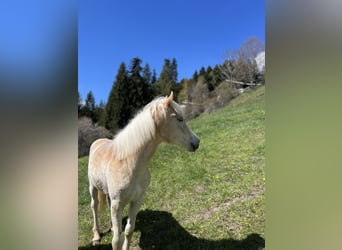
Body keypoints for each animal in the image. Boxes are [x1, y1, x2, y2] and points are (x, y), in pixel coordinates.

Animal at [87, 92, 200, 250]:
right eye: (179, 119)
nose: (197, 142)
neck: (129, 163)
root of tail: (97, 141)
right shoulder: (117, 204)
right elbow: (116, 240)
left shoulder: (137, 200)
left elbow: (128, 231)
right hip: (93, 187)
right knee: (94, 207)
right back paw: (96, 235)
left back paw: (110, 226)